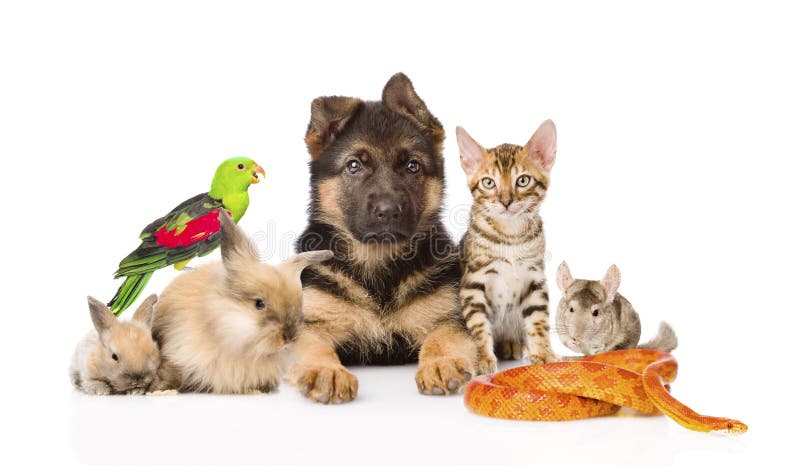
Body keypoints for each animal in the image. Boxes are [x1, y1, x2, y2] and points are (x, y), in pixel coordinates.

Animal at [150, 212, 332, 394]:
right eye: (259, 304)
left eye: (299, 305)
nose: (289, 337)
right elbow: (173, 373)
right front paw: (163, 391)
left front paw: (257, 390)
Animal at [288, 72, 476, 402]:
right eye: (354, 165)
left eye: (412, 165)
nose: (388, 211)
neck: (378, 265)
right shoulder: (312, 324)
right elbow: (314, 347)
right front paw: (326, 371)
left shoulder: (447, 319)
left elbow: (442, 339)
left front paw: (441, 363)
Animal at [456, 120, 556, 374]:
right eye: (488, 182)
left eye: (523, 180)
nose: (505, 201)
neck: (511, 236)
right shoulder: (473, 282)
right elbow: (477, 325)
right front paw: (482, 357)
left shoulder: (534, 278)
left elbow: (539, 320)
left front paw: (543, 353)